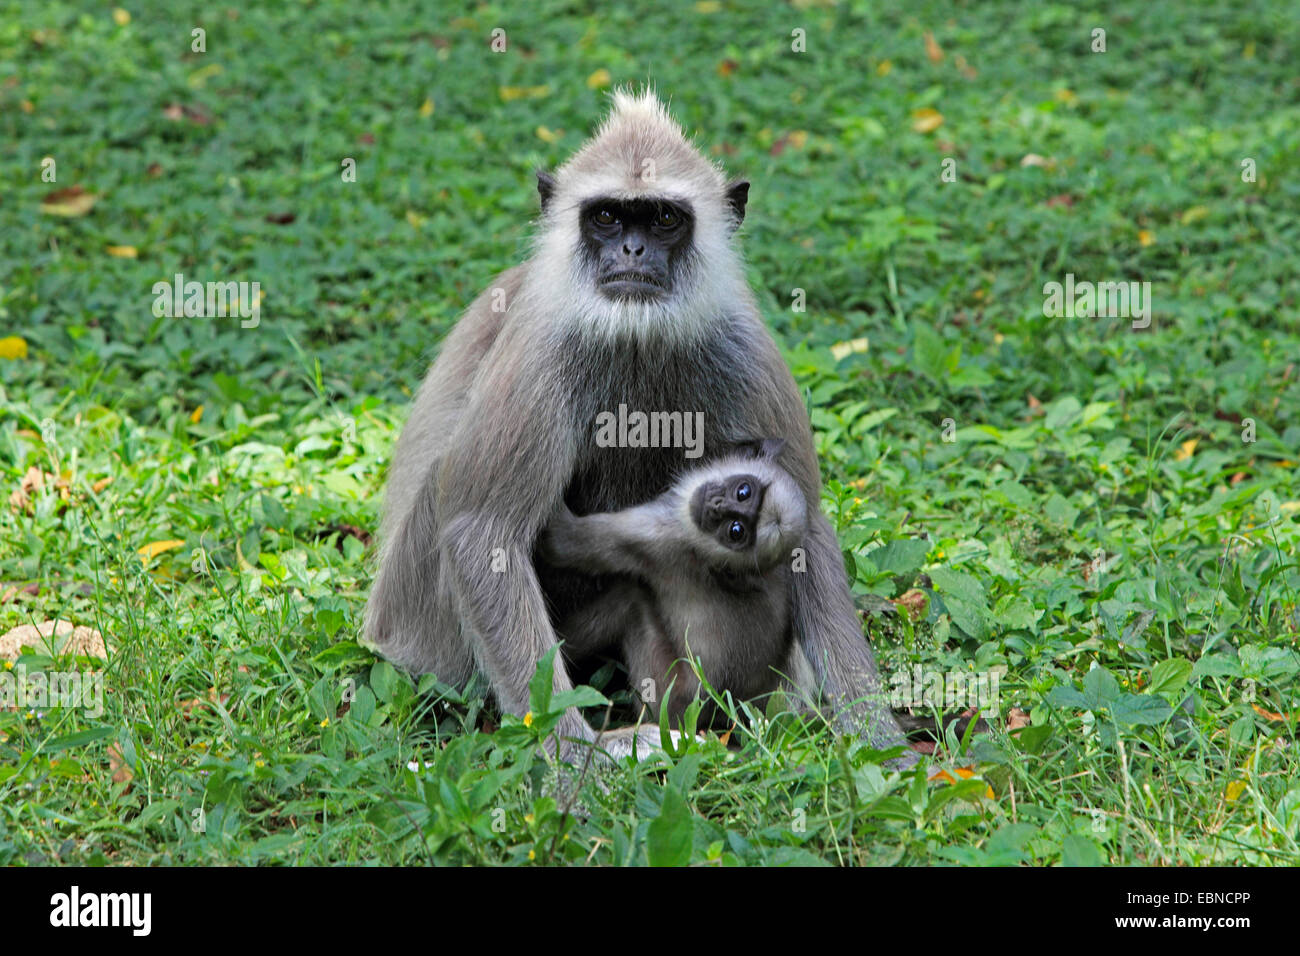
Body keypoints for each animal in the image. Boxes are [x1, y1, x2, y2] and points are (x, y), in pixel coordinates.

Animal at [366, 89, 909, 764]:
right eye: (607, 217)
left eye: (662, 220)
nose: (631, 251)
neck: (635, 334)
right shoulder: (542, 347)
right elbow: (479, 531)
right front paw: (574, 762)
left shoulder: (743, 345)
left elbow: (805, 529)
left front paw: (881, 745)